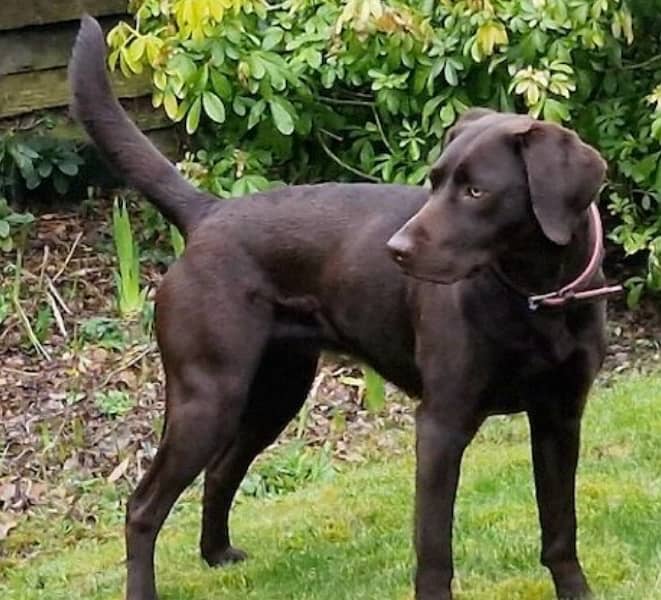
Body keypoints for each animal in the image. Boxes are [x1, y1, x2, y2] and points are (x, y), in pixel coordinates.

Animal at [68, 14, 620, 600]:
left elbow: (560, 529)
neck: (538, 297)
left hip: (276, 390)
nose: (395, 250)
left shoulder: (561, 416)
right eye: (434, 181)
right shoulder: (441, 424)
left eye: (476, 192)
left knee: (220, 472)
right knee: (143, 506)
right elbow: (434, 549)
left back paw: (217, 554)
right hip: (209, 396)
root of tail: (209, 213)